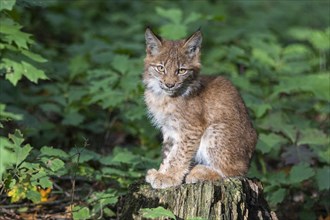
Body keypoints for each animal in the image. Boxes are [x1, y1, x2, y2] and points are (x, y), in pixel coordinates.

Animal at [144, 27, 258, 189]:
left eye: (181, 70)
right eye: (161, 68)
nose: (170, 84)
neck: (163, 96)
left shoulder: (191, 128)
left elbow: (178, 155)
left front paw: (169, 177)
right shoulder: (169, 129)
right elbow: (168, 153)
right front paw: (162, 173)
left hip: (214, 129)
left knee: (237, 171)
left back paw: (199, 172)